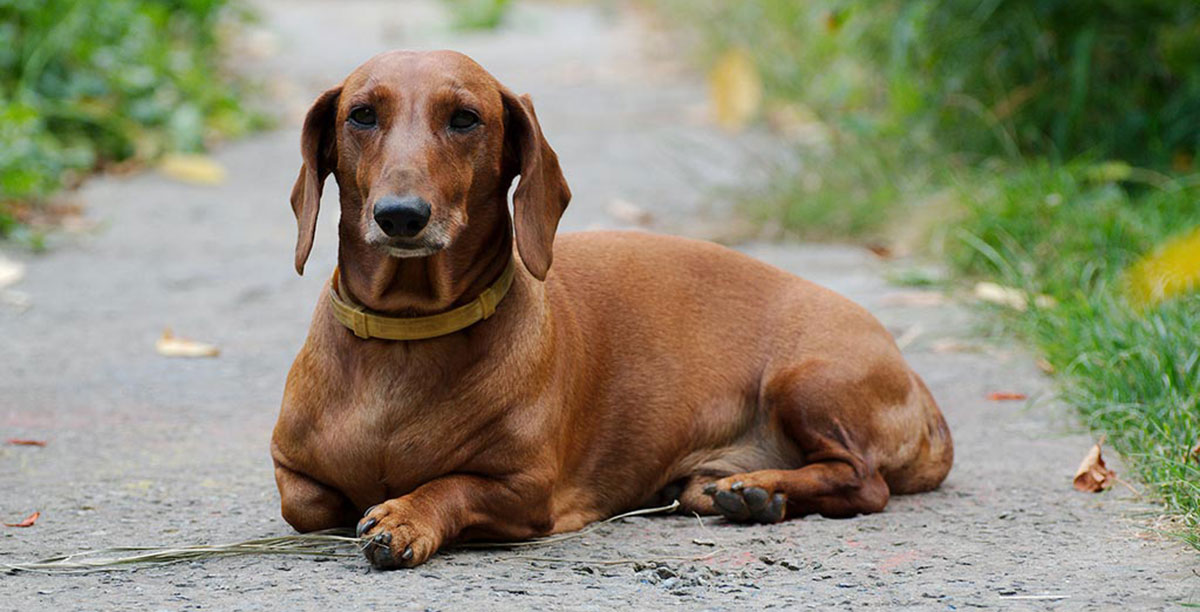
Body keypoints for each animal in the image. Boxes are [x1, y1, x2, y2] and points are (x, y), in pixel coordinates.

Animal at [272, 50, 955, 571]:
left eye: (465, 118)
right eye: (362, 115)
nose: (401, 216)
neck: (408, 334)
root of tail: (914, 378)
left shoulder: (525, 490)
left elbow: (452, 485)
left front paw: (407, 516)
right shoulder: (290, 472)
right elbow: (307, 505)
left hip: (806, 380)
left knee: (864, 480)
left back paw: (760, 490)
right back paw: (745, 491)